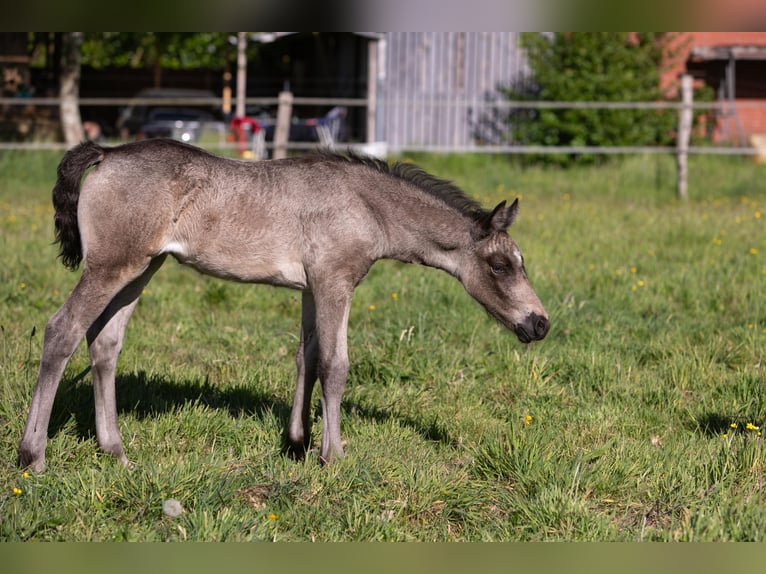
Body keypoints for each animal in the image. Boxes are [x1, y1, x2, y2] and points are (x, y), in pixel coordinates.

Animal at [18, 138, 549, 471]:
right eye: (500, 265)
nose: (539, 324)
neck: (367, 206)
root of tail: (106, 154)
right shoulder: (336, 282)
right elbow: (336, 365)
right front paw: (334, 456)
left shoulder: (312, 288)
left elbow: (306, 357)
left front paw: (297, 443)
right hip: (111, 266)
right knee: (62, 330)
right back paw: (32, 456)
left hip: (142, 267)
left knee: (105, 343)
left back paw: (116, 452)